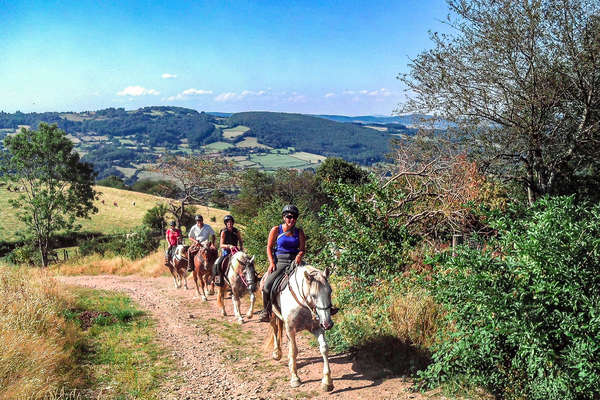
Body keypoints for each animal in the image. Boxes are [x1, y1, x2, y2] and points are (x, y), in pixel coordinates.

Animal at [264, 264, 336, 392]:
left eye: (330, 292)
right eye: (313, 295)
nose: (327, 324)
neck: (303, 304)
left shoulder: (317, 328)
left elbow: (324, 348)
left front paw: (327, 382)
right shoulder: (290, 330)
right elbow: (293, 351)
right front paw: (295, 378)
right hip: (272, 315)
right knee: (275, 329)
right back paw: (277, 353)